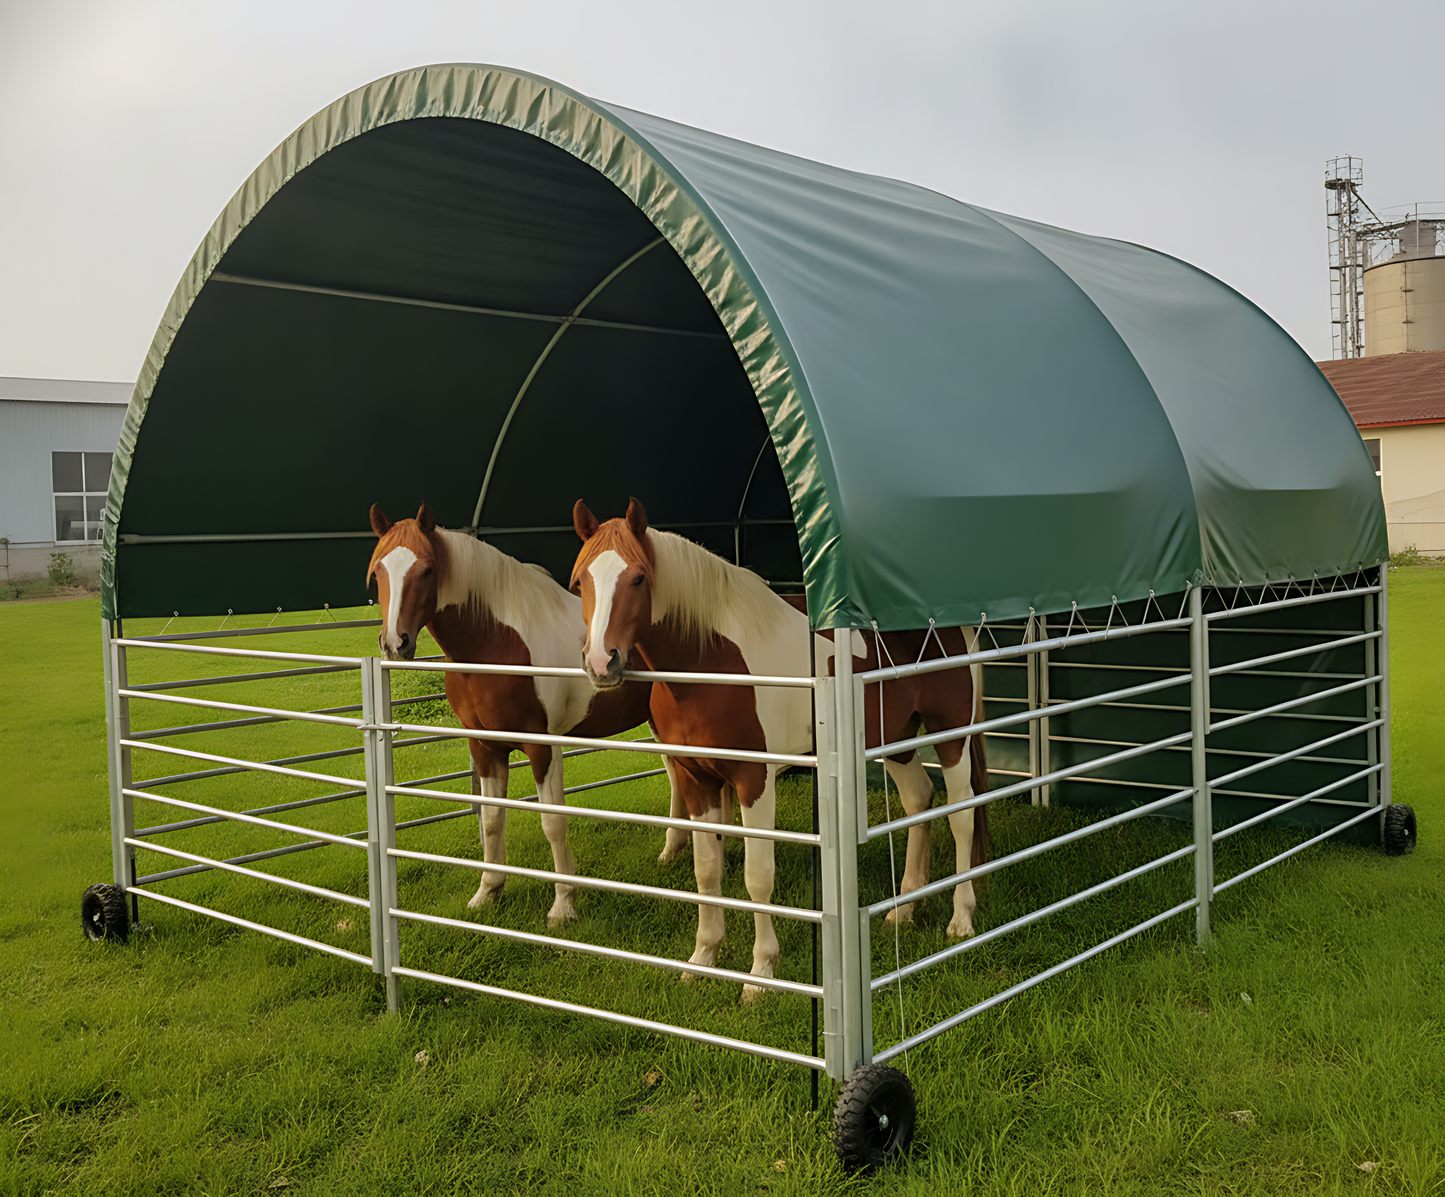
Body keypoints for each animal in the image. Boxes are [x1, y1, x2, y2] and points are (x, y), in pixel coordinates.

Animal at [368, 501, 677, 925]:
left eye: (427, 569)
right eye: (379, 570)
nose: (394, 643)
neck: (495, 643)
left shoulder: (541, 745)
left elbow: (552, 821)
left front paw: (564, 904)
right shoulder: (485, 746)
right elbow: (492, 819)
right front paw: (487, 892)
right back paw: (672, 851)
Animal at [570, 497, 990, 1000]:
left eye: (638, 578)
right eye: (580, 581)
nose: (601, 662)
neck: (711, 663)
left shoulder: (754, 779)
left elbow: (757, 877)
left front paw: (760, 975)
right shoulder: (697, 779)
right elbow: (706, 871)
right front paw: (703, 959)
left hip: (951, 734)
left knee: (962, 814)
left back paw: (961, 919)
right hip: (897, 737)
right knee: (918, 801)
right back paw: (903, 910)